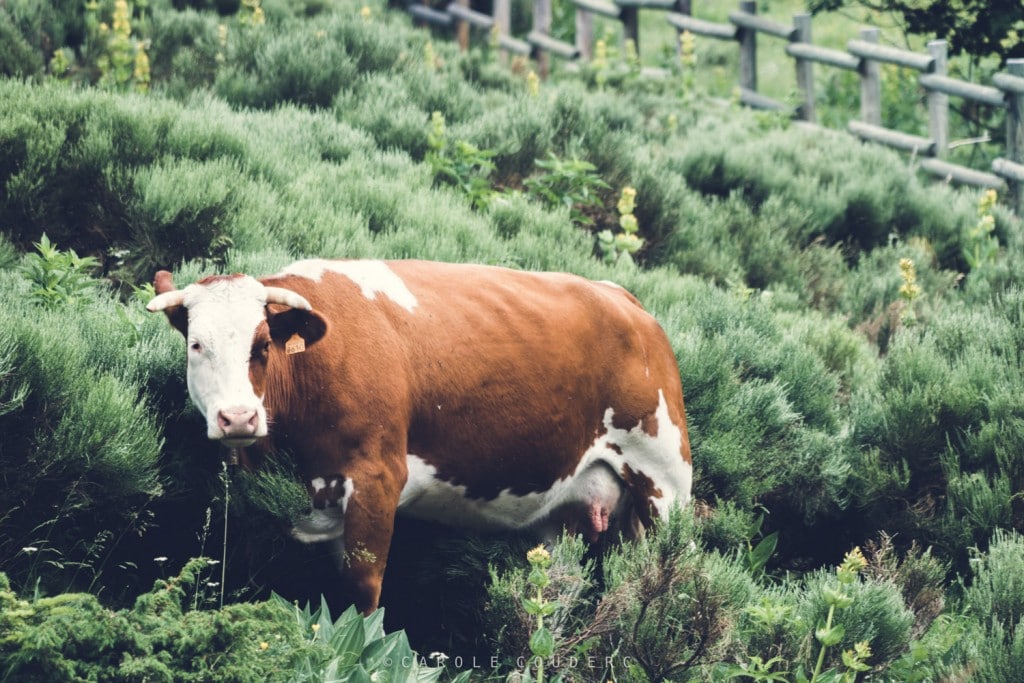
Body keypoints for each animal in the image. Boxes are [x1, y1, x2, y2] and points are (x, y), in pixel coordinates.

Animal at [148, 260, 696, 614]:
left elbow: (362, 595)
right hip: (564, 520)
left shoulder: (377, 480)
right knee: (556, 594)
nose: (238, 417)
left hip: (666, 484)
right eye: (196, 344)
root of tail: (623, 298)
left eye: (262, 345)